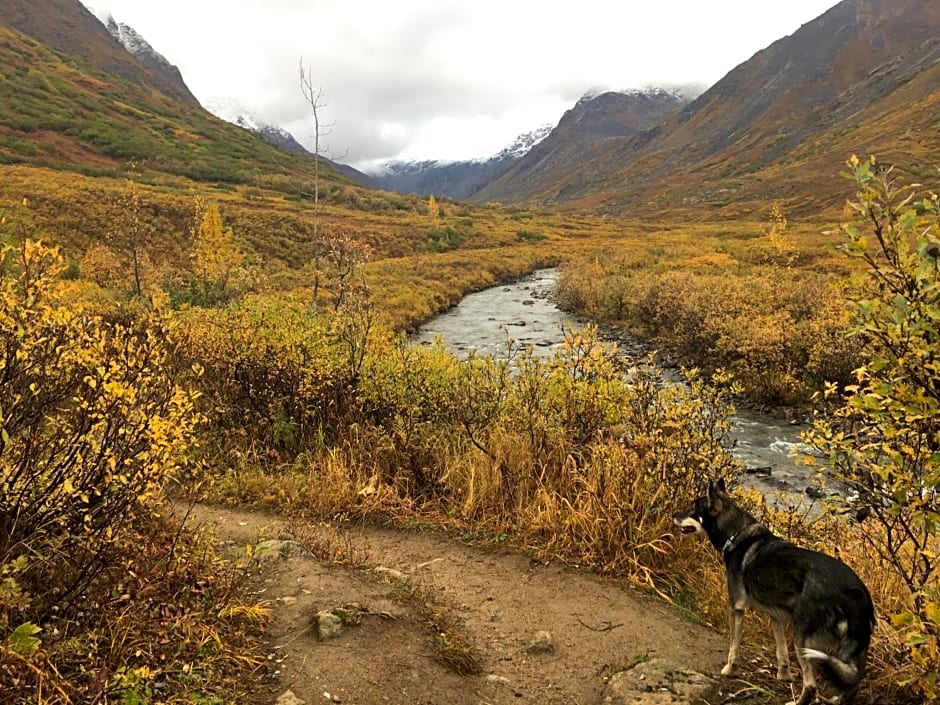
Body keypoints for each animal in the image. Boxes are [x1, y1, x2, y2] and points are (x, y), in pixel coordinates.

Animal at [672, 478, 876, 704]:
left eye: (693, 508)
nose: (674, 515)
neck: (736, 535)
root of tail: (856, 594)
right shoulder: (775, 616)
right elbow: (781, 653)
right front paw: (784, 676)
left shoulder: (737, 607)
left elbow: (734, 645)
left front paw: (729, 670)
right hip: (846, 651)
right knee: (851, 684)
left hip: (802, 640)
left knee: (811, 685)